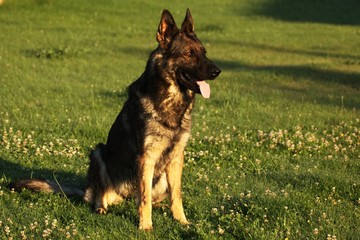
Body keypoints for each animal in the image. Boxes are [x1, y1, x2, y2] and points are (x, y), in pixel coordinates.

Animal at [10, 8, 219, 231]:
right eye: (189, 54)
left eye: (204, 52)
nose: (218, 71)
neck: (171, 101)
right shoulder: (145, 158)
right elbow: (144, 199)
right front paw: (146, 227)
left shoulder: (177, 157)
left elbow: (176, 195)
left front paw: (181, 221)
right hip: (98, 153)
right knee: (104, 197)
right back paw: (101, 208)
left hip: (159, 177)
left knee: (149, 197)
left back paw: (159, 206)